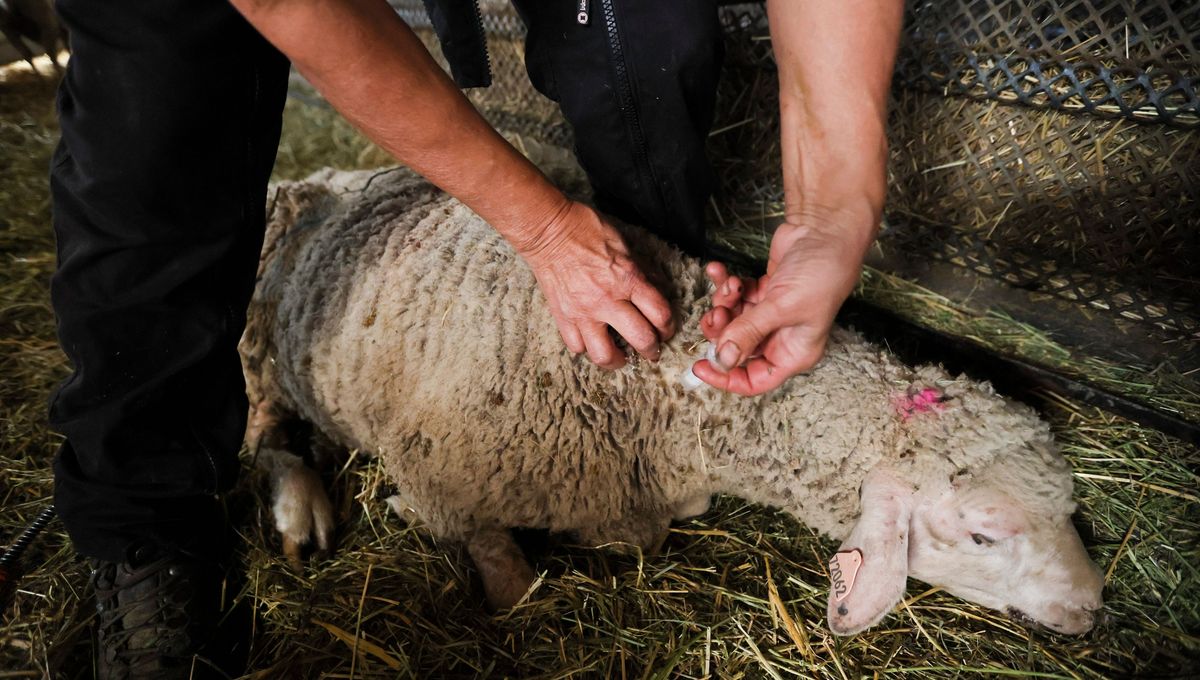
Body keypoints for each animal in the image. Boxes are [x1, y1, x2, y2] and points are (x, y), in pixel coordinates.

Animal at [241, 140, 1104, 638]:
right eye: (983, 536)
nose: (1093, 608)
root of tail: (319, 174)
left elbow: (646, 531)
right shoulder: (445, 471)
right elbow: (512, 582)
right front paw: (416, 519)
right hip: (261, 330)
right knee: (262, 428)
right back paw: (298, 509)